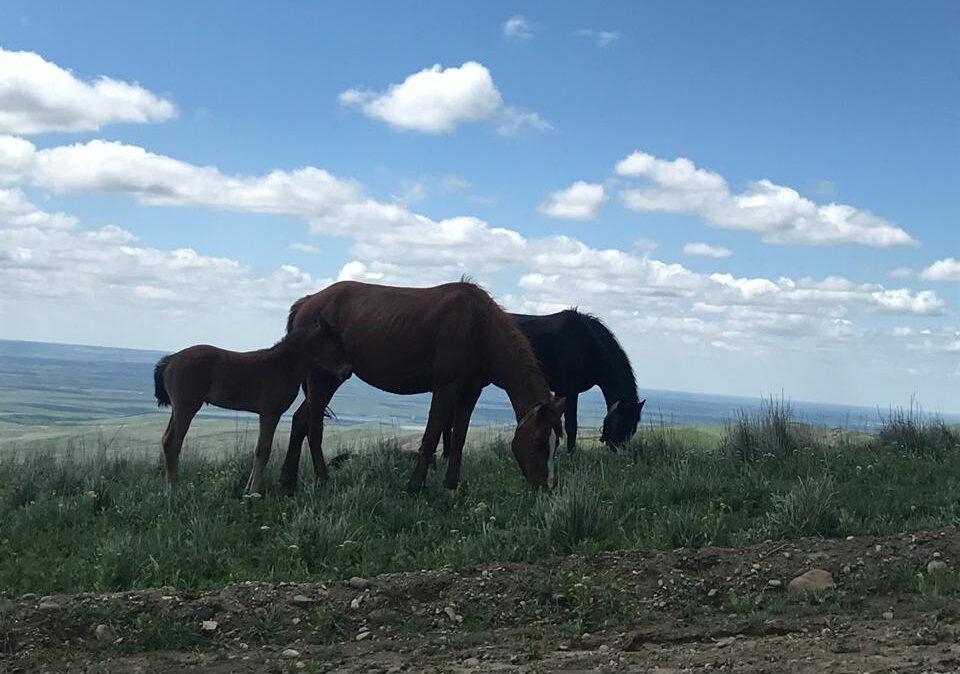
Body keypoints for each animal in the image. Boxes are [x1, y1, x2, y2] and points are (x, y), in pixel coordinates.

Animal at [154, 318, 352, 490]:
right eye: (335, 344)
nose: (348, 371)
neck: (283, 365)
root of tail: (171, 360)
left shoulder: (266, 414)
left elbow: (259, 451)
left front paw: (247, 488)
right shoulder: (270, 413)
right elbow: (263, 451)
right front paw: (254, 491)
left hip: (179, 409)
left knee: (166, 440)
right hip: (186, 407)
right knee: (173, 442)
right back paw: (173, 489)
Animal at [280, 280, 564, 494]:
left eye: (555, 444)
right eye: (539, 442)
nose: (546, 489)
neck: (478, 327)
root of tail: (307, 302)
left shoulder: (470, 391)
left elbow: (459, 438)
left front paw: (451, 485)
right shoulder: (445, 387)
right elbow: (431, 437)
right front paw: (414, 486)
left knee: (300, 420)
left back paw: (288, 483)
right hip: (324, 378)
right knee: (314, 426)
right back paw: (323, 481)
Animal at [444, 310, 644, 452]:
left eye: (633, 427)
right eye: (624, 423)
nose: (619, 452)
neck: (586, 344)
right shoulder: (569, 391)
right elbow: (571, 425)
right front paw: (571, 455)